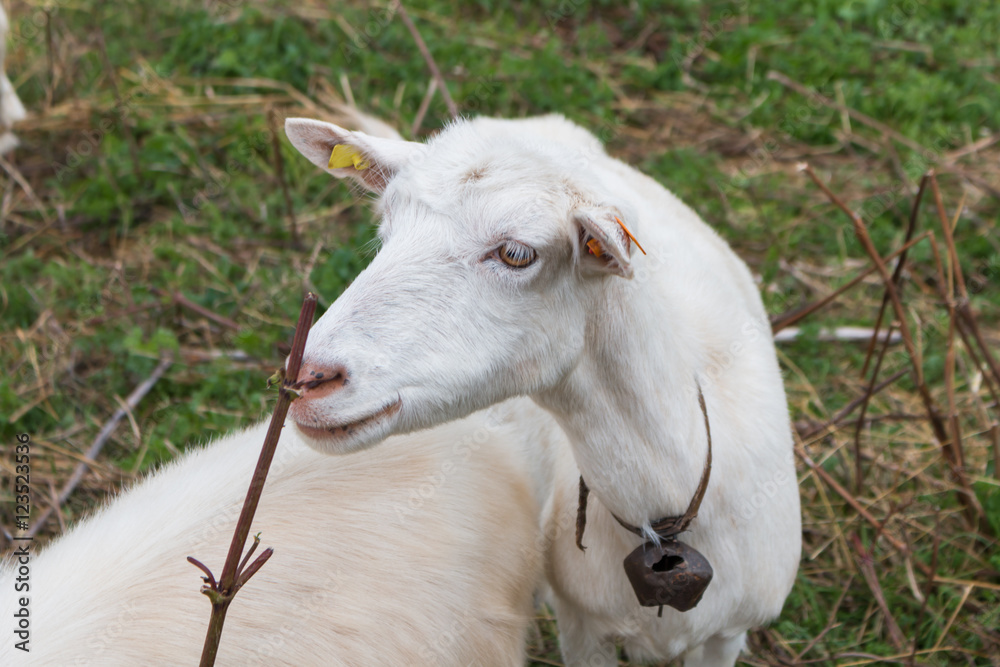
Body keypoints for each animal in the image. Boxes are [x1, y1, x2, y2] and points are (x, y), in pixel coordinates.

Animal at [283, 112, 802, 665]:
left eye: (516, 254)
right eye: (386, 231)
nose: (308, 377)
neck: (664, 515)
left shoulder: (730, 633)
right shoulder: (582, 624)